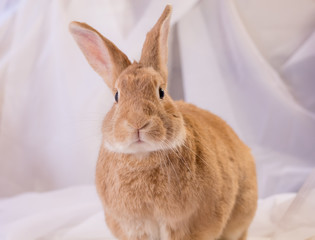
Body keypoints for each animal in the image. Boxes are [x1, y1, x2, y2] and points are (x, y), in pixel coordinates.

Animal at [69, 4, 256, 240]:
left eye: (161, 92)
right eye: (117, 96)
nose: (137, 123)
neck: (142, 158)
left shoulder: (186, 225)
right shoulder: (134, 227)